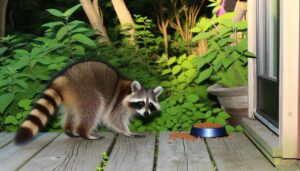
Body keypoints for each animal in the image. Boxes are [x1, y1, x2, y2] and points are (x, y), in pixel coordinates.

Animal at [14, 59, 162, 144]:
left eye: (150, 105)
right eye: (141, 102)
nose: (147, 114)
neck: (129, 92)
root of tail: (63, 78)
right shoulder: (118, 104)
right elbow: (113, 118)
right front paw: (127, 132)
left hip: (75, 97)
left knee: (72, 112)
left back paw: (69, 129)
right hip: (85, 91)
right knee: (94, 106)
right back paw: (84, 132)